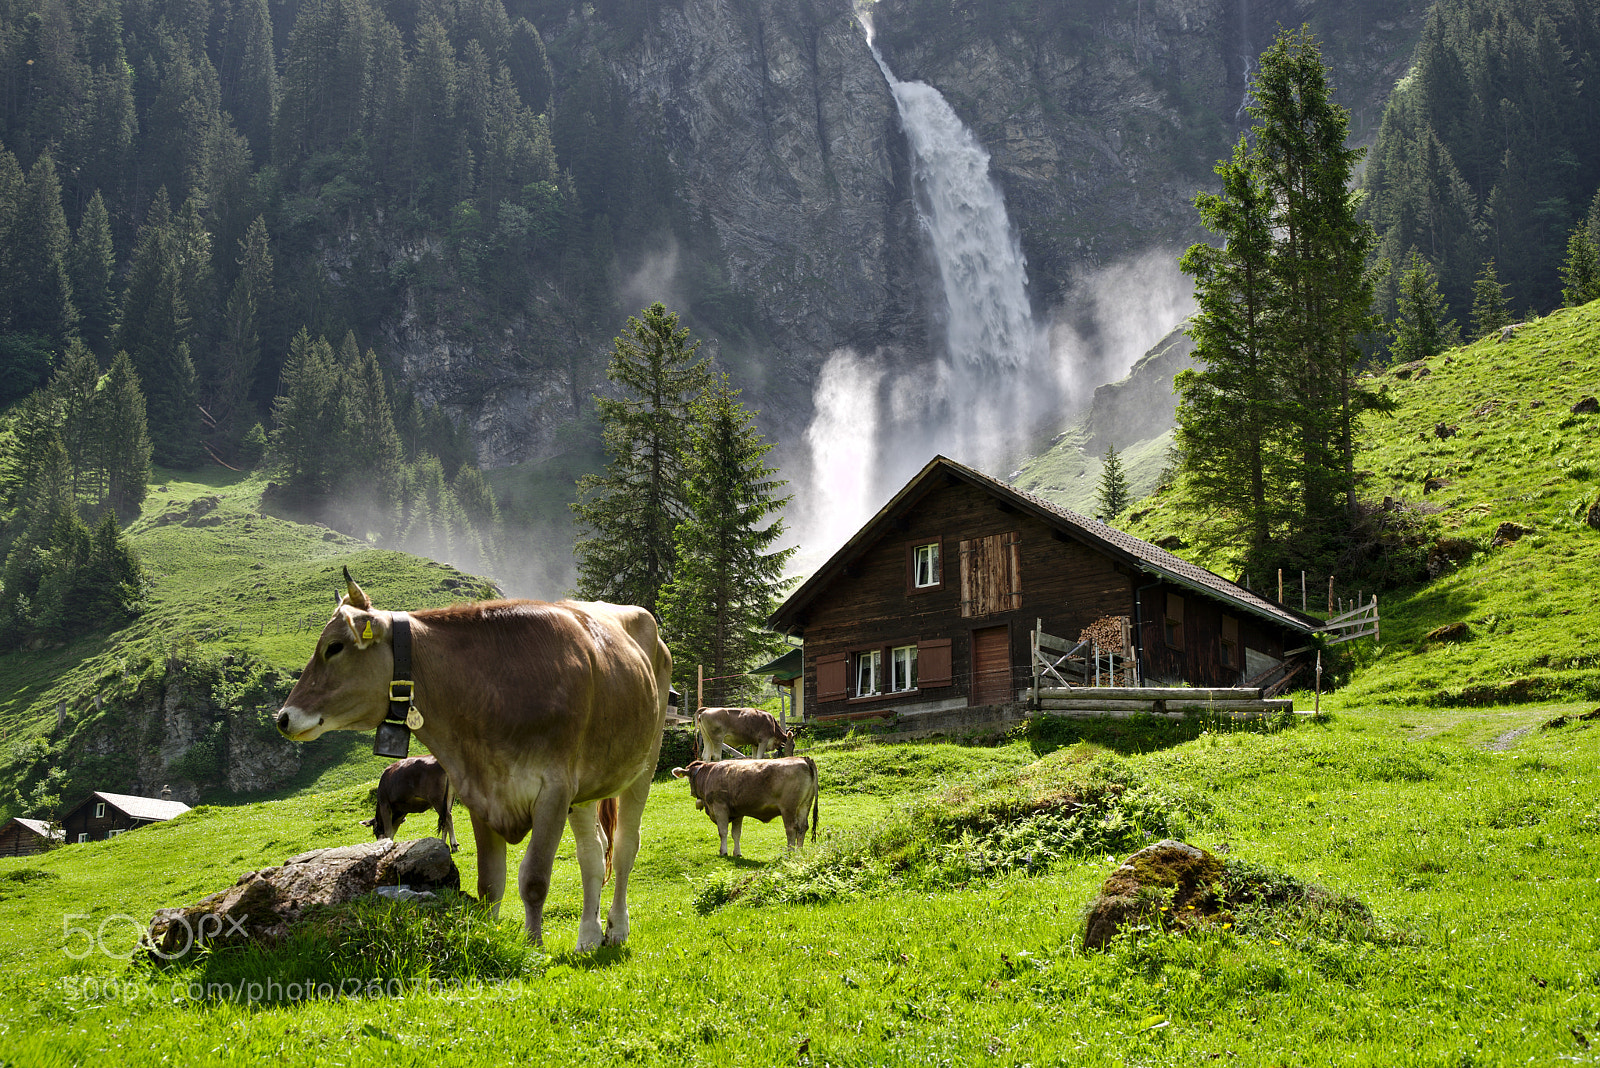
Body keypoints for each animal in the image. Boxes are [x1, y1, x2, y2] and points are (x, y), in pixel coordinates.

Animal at [278, 575, 665, 952]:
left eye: (334, 647)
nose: (283, 718)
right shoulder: (480, 792)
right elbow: (489, 883)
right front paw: (491, 936)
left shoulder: (554, 790)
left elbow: (534, 880)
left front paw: (533, 948)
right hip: (585, 791)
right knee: (592, 853)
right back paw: (588, 936)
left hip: (643, 765)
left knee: (626, 846)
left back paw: (617, 928)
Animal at [668, 754, 819, 856]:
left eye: (688, 778)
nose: (692, 793)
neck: (708, 775)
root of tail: (802, 758)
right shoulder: (738, 813)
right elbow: (736, 834)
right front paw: (737, 853)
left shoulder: (719, 807)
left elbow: (723, 831)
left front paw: (723, 851)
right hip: (804, 805)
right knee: (803, 828)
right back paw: (799, 852)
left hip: (788, 808)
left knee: (791, 828)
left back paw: (789, 854)